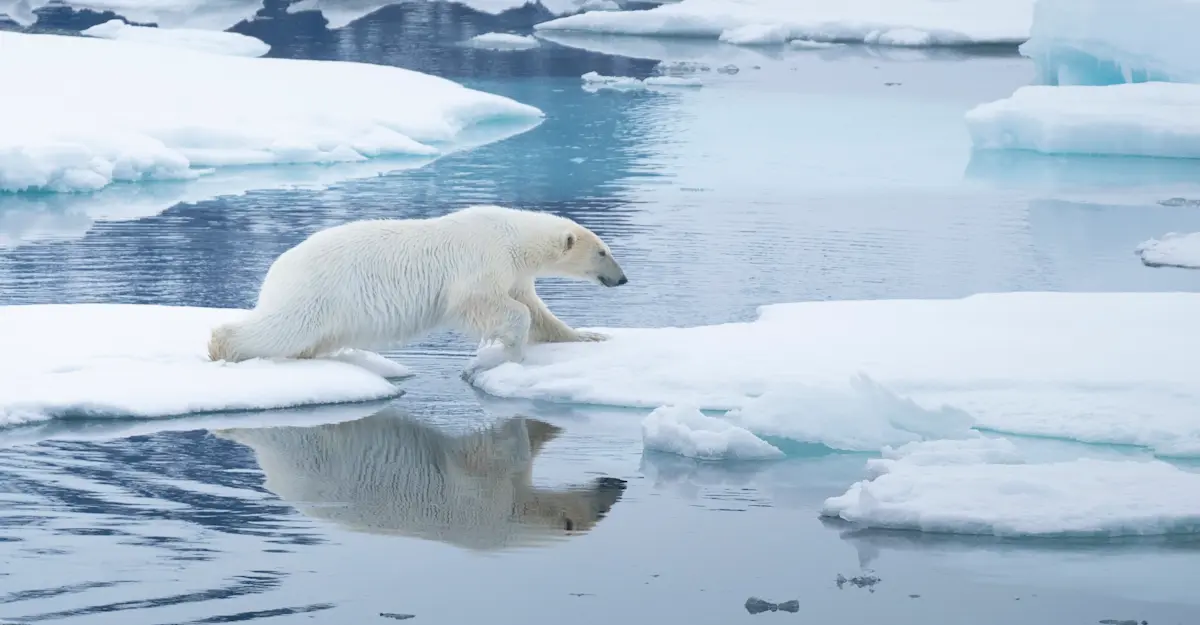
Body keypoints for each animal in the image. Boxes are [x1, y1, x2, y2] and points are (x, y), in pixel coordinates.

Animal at [206, 204, 627, 369]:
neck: (513, 237)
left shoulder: (514, 273)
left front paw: (589, 336)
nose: (622, 278)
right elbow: (483, 302)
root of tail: (278, 265)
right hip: (317, 292)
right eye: (603, 252)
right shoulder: (483, 260)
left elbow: (538, 311)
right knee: (283, 327)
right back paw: (220, 346)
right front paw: (513, 351)